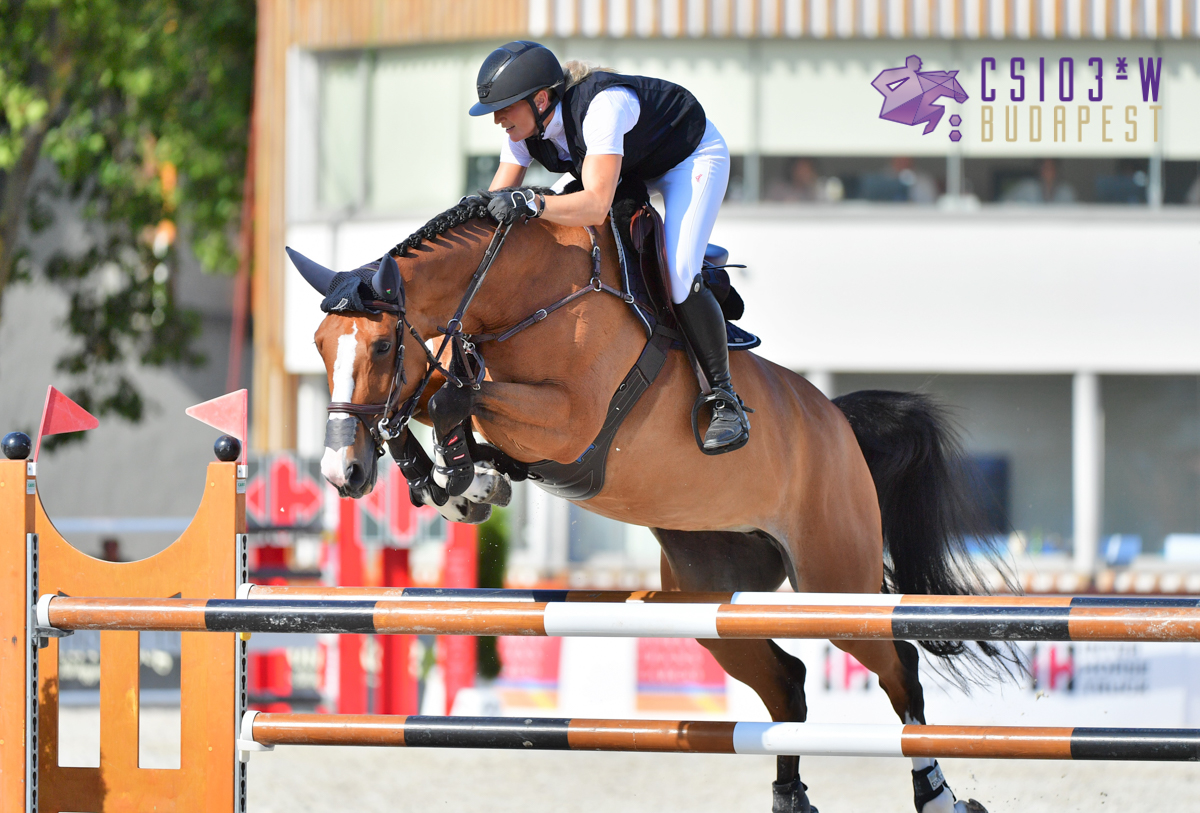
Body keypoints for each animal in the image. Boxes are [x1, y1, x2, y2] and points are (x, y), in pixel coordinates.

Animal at [292, 195, 1003, 813]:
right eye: (321, 345)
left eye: (383, 345)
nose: (340, 472)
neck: (528, 296)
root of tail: (837, 421)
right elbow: (439, 389)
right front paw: (457, 485)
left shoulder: (568, 420)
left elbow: (447, 395)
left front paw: (467, 480)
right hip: (713, 600)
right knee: (787, 683)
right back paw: (791, 798)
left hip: (833, 582)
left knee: (898, 666)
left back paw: (938, 796)